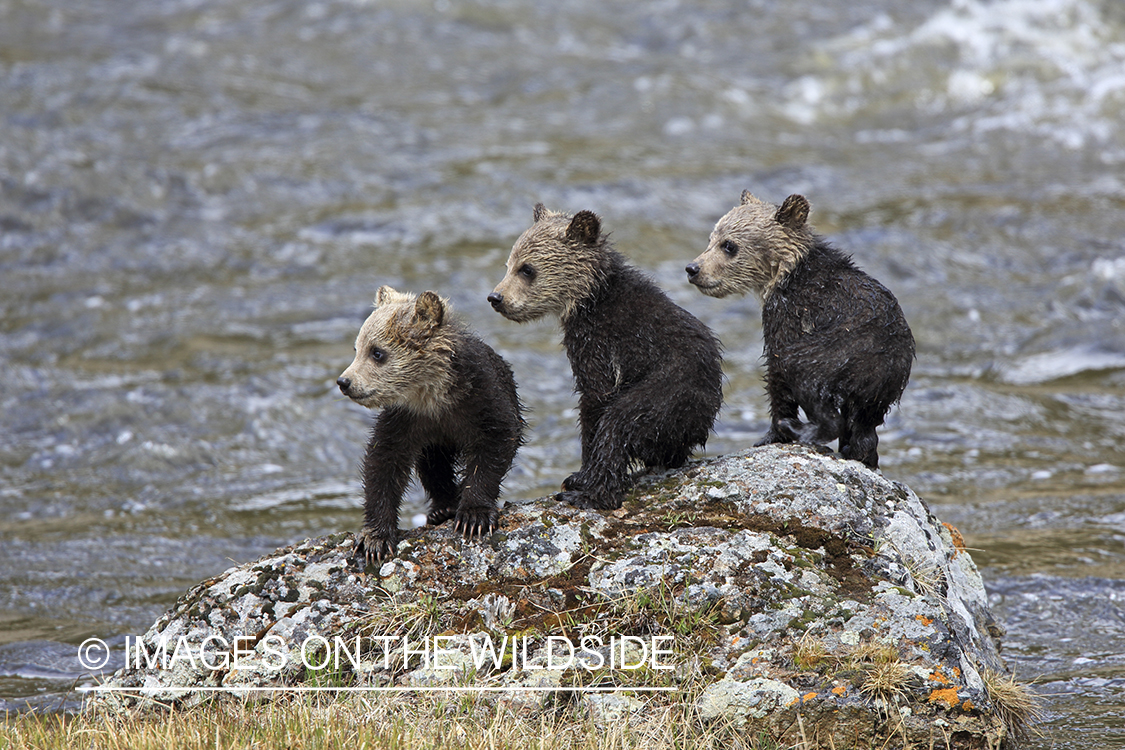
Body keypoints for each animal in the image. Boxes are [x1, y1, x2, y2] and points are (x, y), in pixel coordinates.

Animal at [337, 286, 524, 563]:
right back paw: (442, 508)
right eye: (356, 348)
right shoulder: (406, 418)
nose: (344, 381)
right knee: (433, 464)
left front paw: (473, 516)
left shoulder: (481, 398)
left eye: (377, 352)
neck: (432, 395)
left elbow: (495, 444)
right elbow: (383, 463)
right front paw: (374, 539)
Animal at [487, 204, 723, 510]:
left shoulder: (599, 343)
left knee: (619, 424)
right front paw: (579, 476)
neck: (589, 296)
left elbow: (595, 400)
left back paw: (590, 495)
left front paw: (580, 476)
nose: (496, 297)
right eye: (509, 264)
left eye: (527, 269)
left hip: (670, 395)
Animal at [685, 191, 914, 469]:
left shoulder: (790, 316)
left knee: (808, 381)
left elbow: (776, 372)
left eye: (729, 245)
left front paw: (771, 434)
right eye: (712, 238)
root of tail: (885, 360)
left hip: (834, 353)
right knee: (865, 426)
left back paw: (801, 429)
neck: (785, 273)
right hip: (883, 388)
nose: (693, 269)